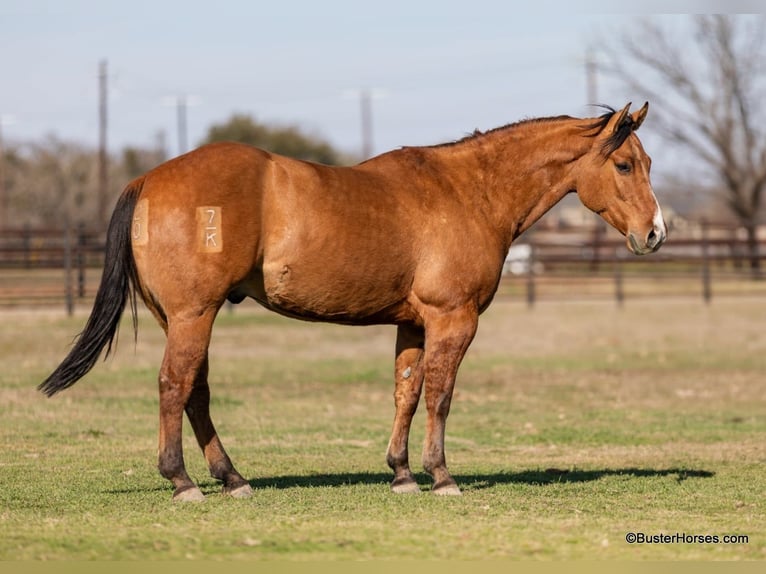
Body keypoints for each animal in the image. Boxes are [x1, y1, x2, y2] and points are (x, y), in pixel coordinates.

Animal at [39, 102, 666, 501]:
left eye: (648, 163)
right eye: (624, 164)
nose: (656, 233)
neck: (469, 191)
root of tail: (147, 180)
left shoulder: (414, 324)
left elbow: (407, 393)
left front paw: (402, 474)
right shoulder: (453, 320)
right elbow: (440, 396)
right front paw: (442, 476)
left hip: (184, 319)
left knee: (195, 391)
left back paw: (232, 478)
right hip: (194, 316)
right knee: (175, 386)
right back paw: (183, 482)